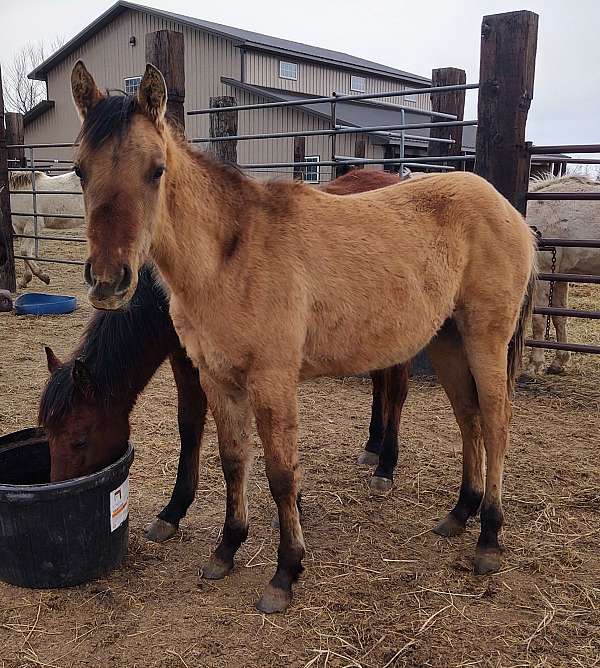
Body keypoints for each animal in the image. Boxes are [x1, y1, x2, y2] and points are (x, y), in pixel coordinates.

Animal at [38, 170, 410, 543]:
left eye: (78, 440)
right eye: (47, 434)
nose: (57, 491)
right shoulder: (186, 359)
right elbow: (189, 426)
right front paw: (172, 512)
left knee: (396, 393)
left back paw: (385, 467)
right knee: (380, 384)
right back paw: (373, 445)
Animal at [525, 174, 600, 375]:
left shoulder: (543, 273)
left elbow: (539, 319)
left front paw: (534, 365)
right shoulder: (559, 275)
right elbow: (559, 317)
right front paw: (559, 361)